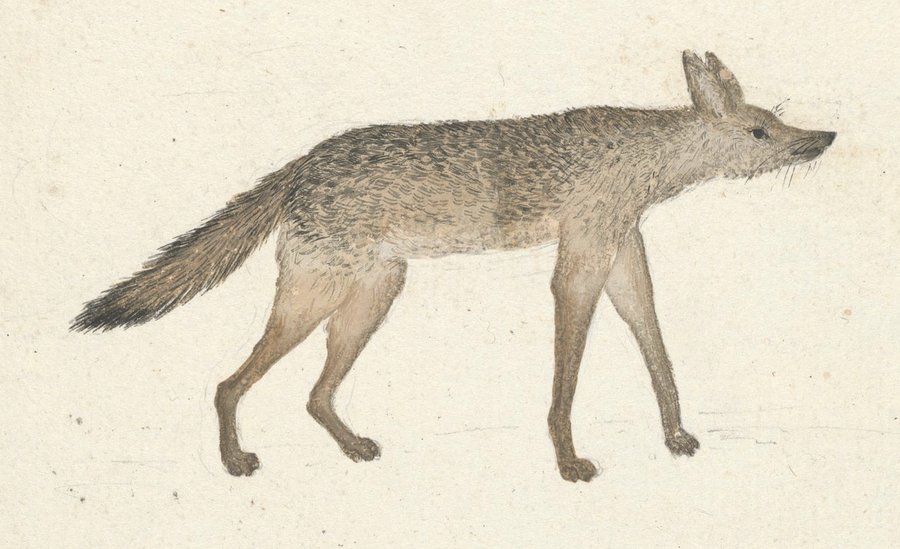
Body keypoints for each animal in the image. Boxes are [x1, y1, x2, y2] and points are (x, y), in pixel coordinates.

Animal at [71, 51, 836, 482]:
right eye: (760, 131)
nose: (823, 137)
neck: (643, 159)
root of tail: (302, 164)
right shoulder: (577, 266)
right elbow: (567, 379)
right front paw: (568, 462)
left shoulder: (623, 258)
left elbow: (658, 353)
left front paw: (675, 436)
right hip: (315, 299)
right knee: (227, 384)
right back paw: (236, 463)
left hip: (372, 296)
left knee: (313, 395)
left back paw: (353, 451)